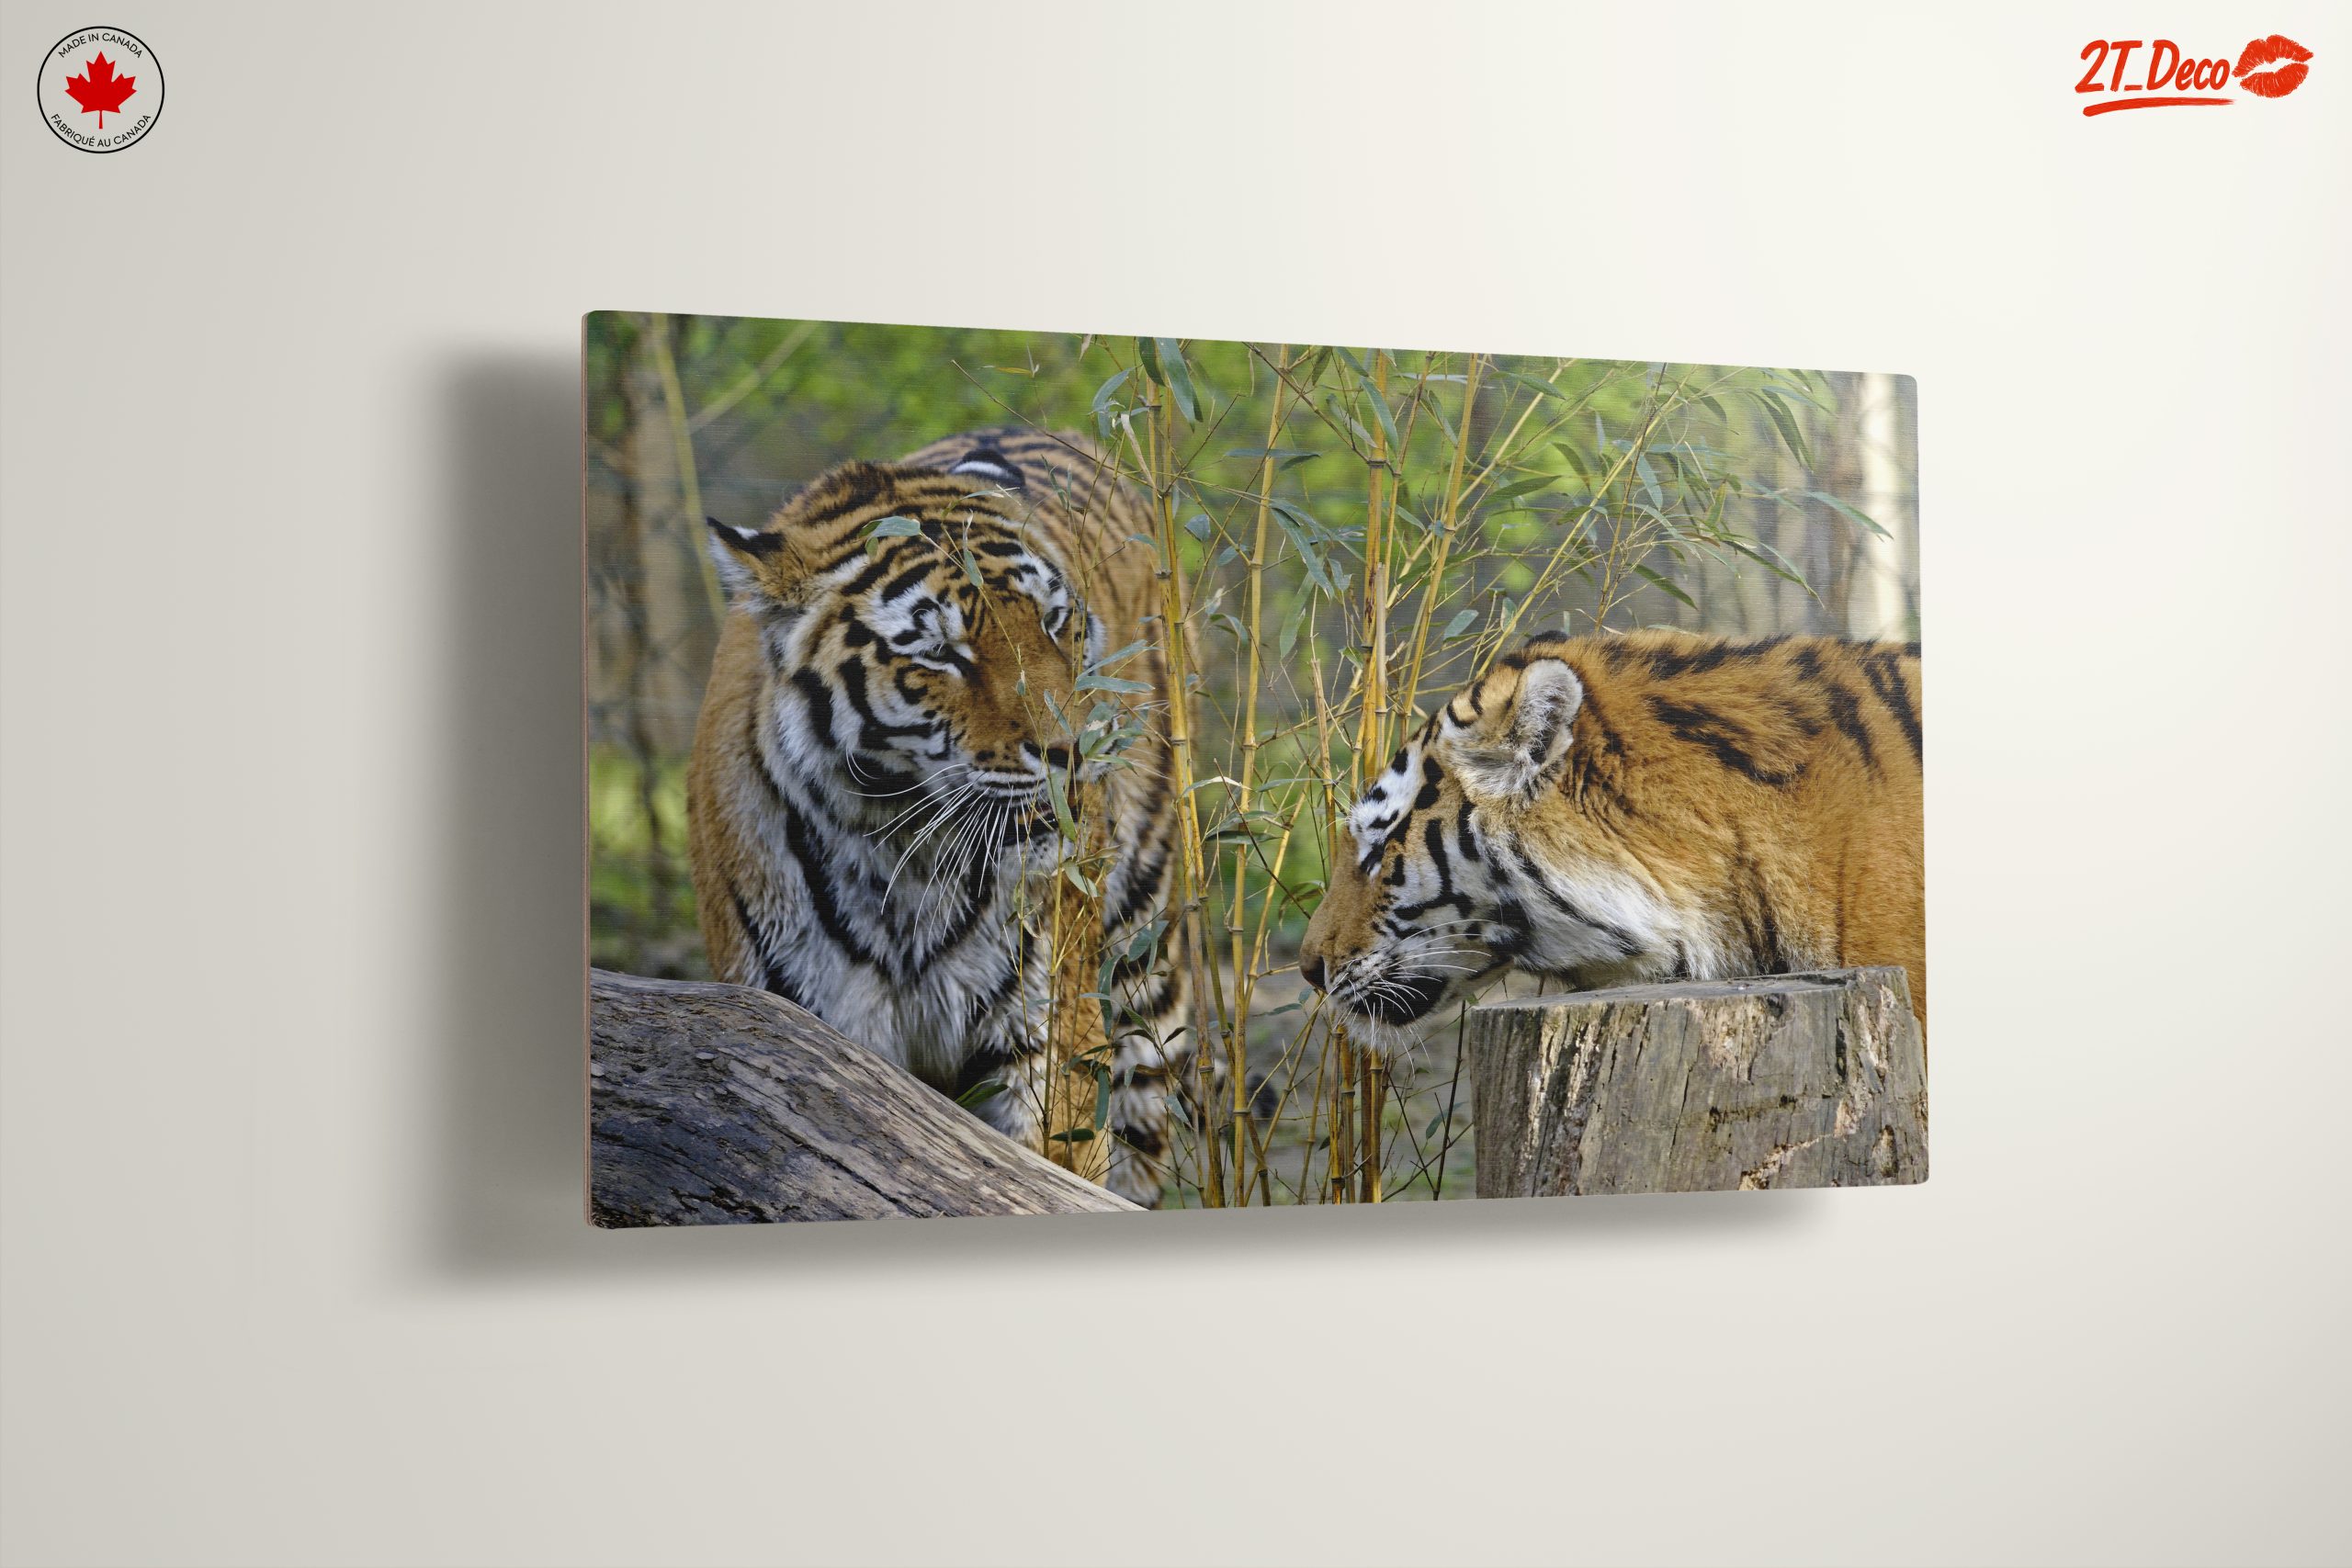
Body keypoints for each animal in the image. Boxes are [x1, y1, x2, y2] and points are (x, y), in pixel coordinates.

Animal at [686, 426, 1188, 1207]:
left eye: (1053, 621)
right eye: (942, 653)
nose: (1071, 752)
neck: (901, 851)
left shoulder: (1047, 1042)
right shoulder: (803, 1030)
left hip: (1142, 958)